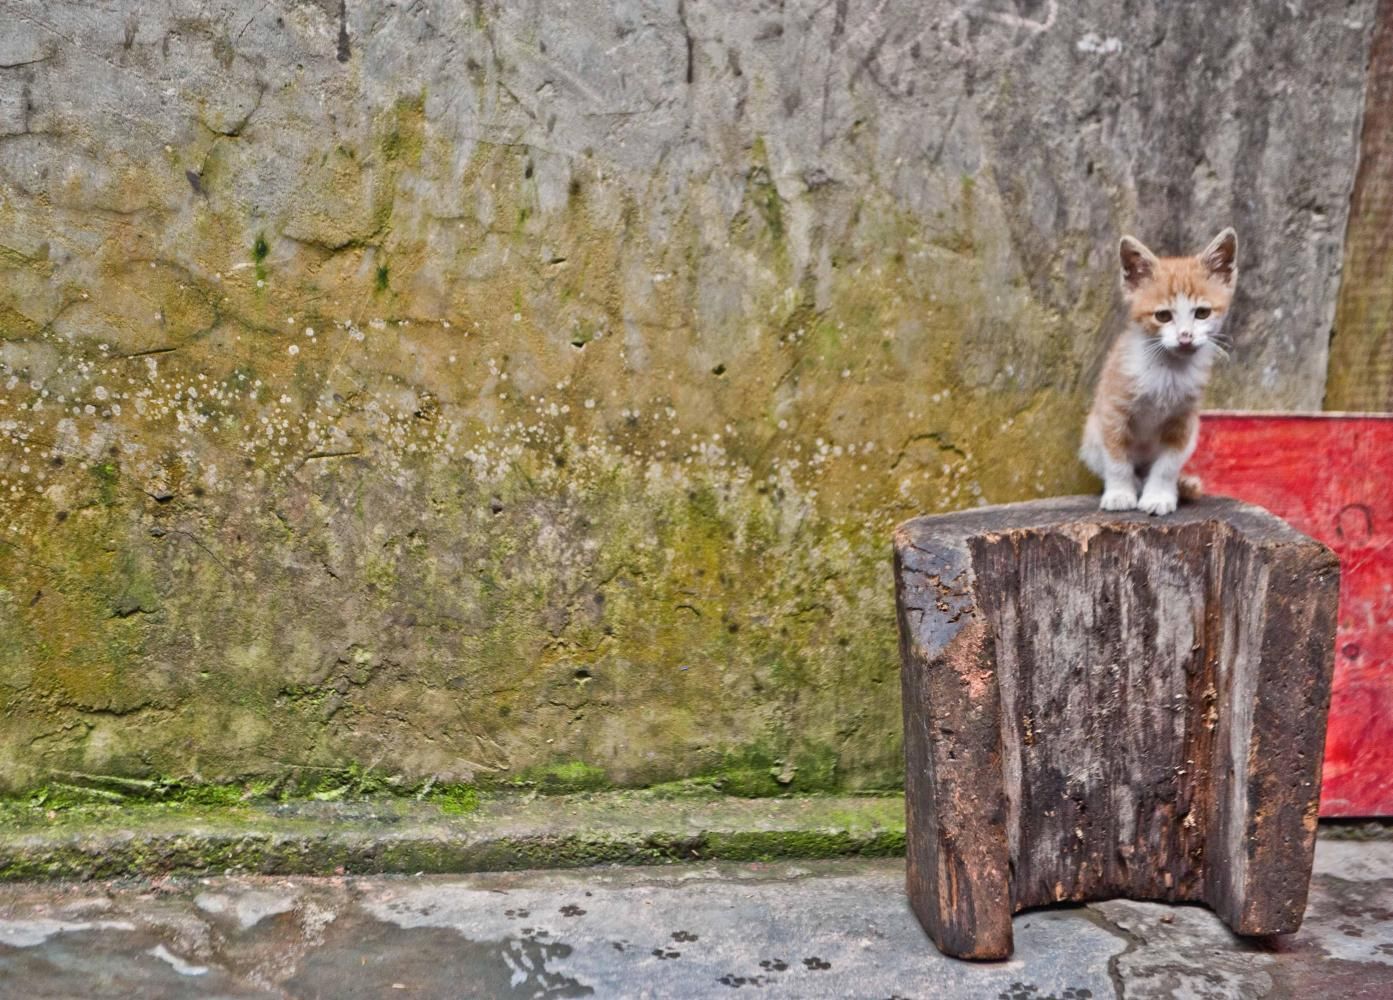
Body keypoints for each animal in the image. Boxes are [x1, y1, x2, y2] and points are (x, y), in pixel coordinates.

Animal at [1080, 229, 1236, 518]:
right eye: (1163, 316)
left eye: (1202, 313)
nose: (1185, 337)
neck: (1167, 371)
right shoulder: (1112, 411)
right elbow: (1116, 458)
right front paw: (1120, 493)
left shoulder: (1183, 420)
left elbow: (1167, 464)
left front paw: (1159, 496)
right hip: (1091, 435)